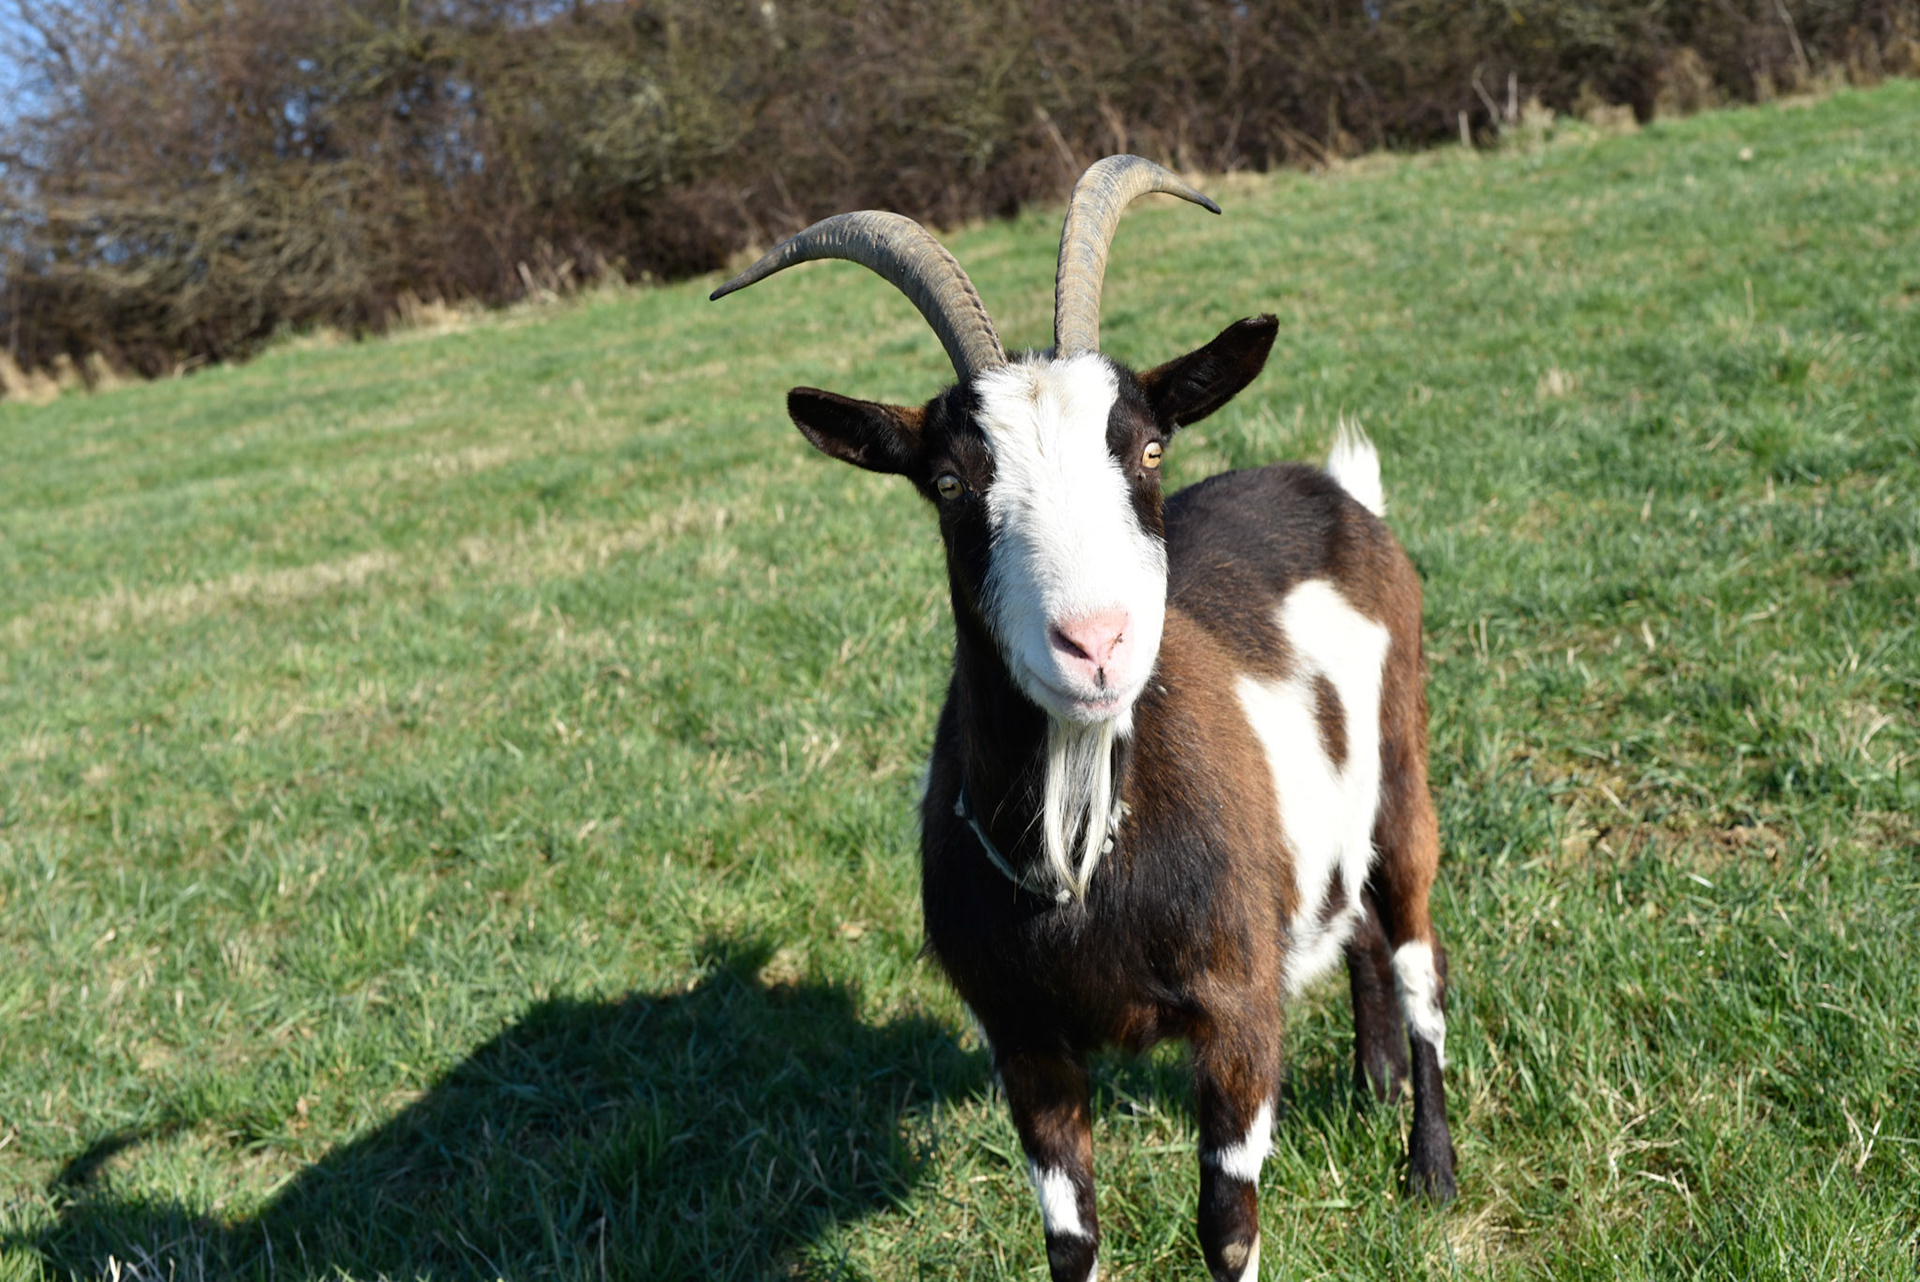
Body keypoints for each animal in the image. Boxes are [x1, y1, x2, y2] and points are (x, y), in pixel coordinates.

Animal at [712, 156, 1456, 1282]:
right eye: (948, 480)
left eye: (1146, 452)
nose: (1096, 641)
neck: (1084, 855)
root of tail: (1335, 490)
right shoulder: (1026, 1042)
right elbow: (1072, 1240)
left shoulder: (1237, 1007)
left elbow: (1226, 1224)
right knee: (1355, 922)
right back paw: (1371, 1084)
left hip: (1402, 772)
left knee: (1415, 949)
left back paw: (1430, 1165)